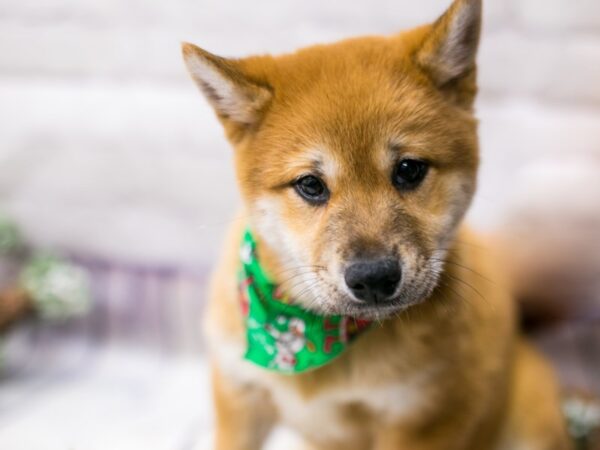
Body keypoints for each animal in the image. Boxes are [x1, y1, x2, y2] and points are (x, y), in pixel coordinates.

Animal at [182, 0, 572, 448]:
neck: (311, 334)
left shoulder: (422, 418)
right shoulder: (239, 395)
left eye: (409, 169)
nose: (373, 278)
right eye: (310, 185)